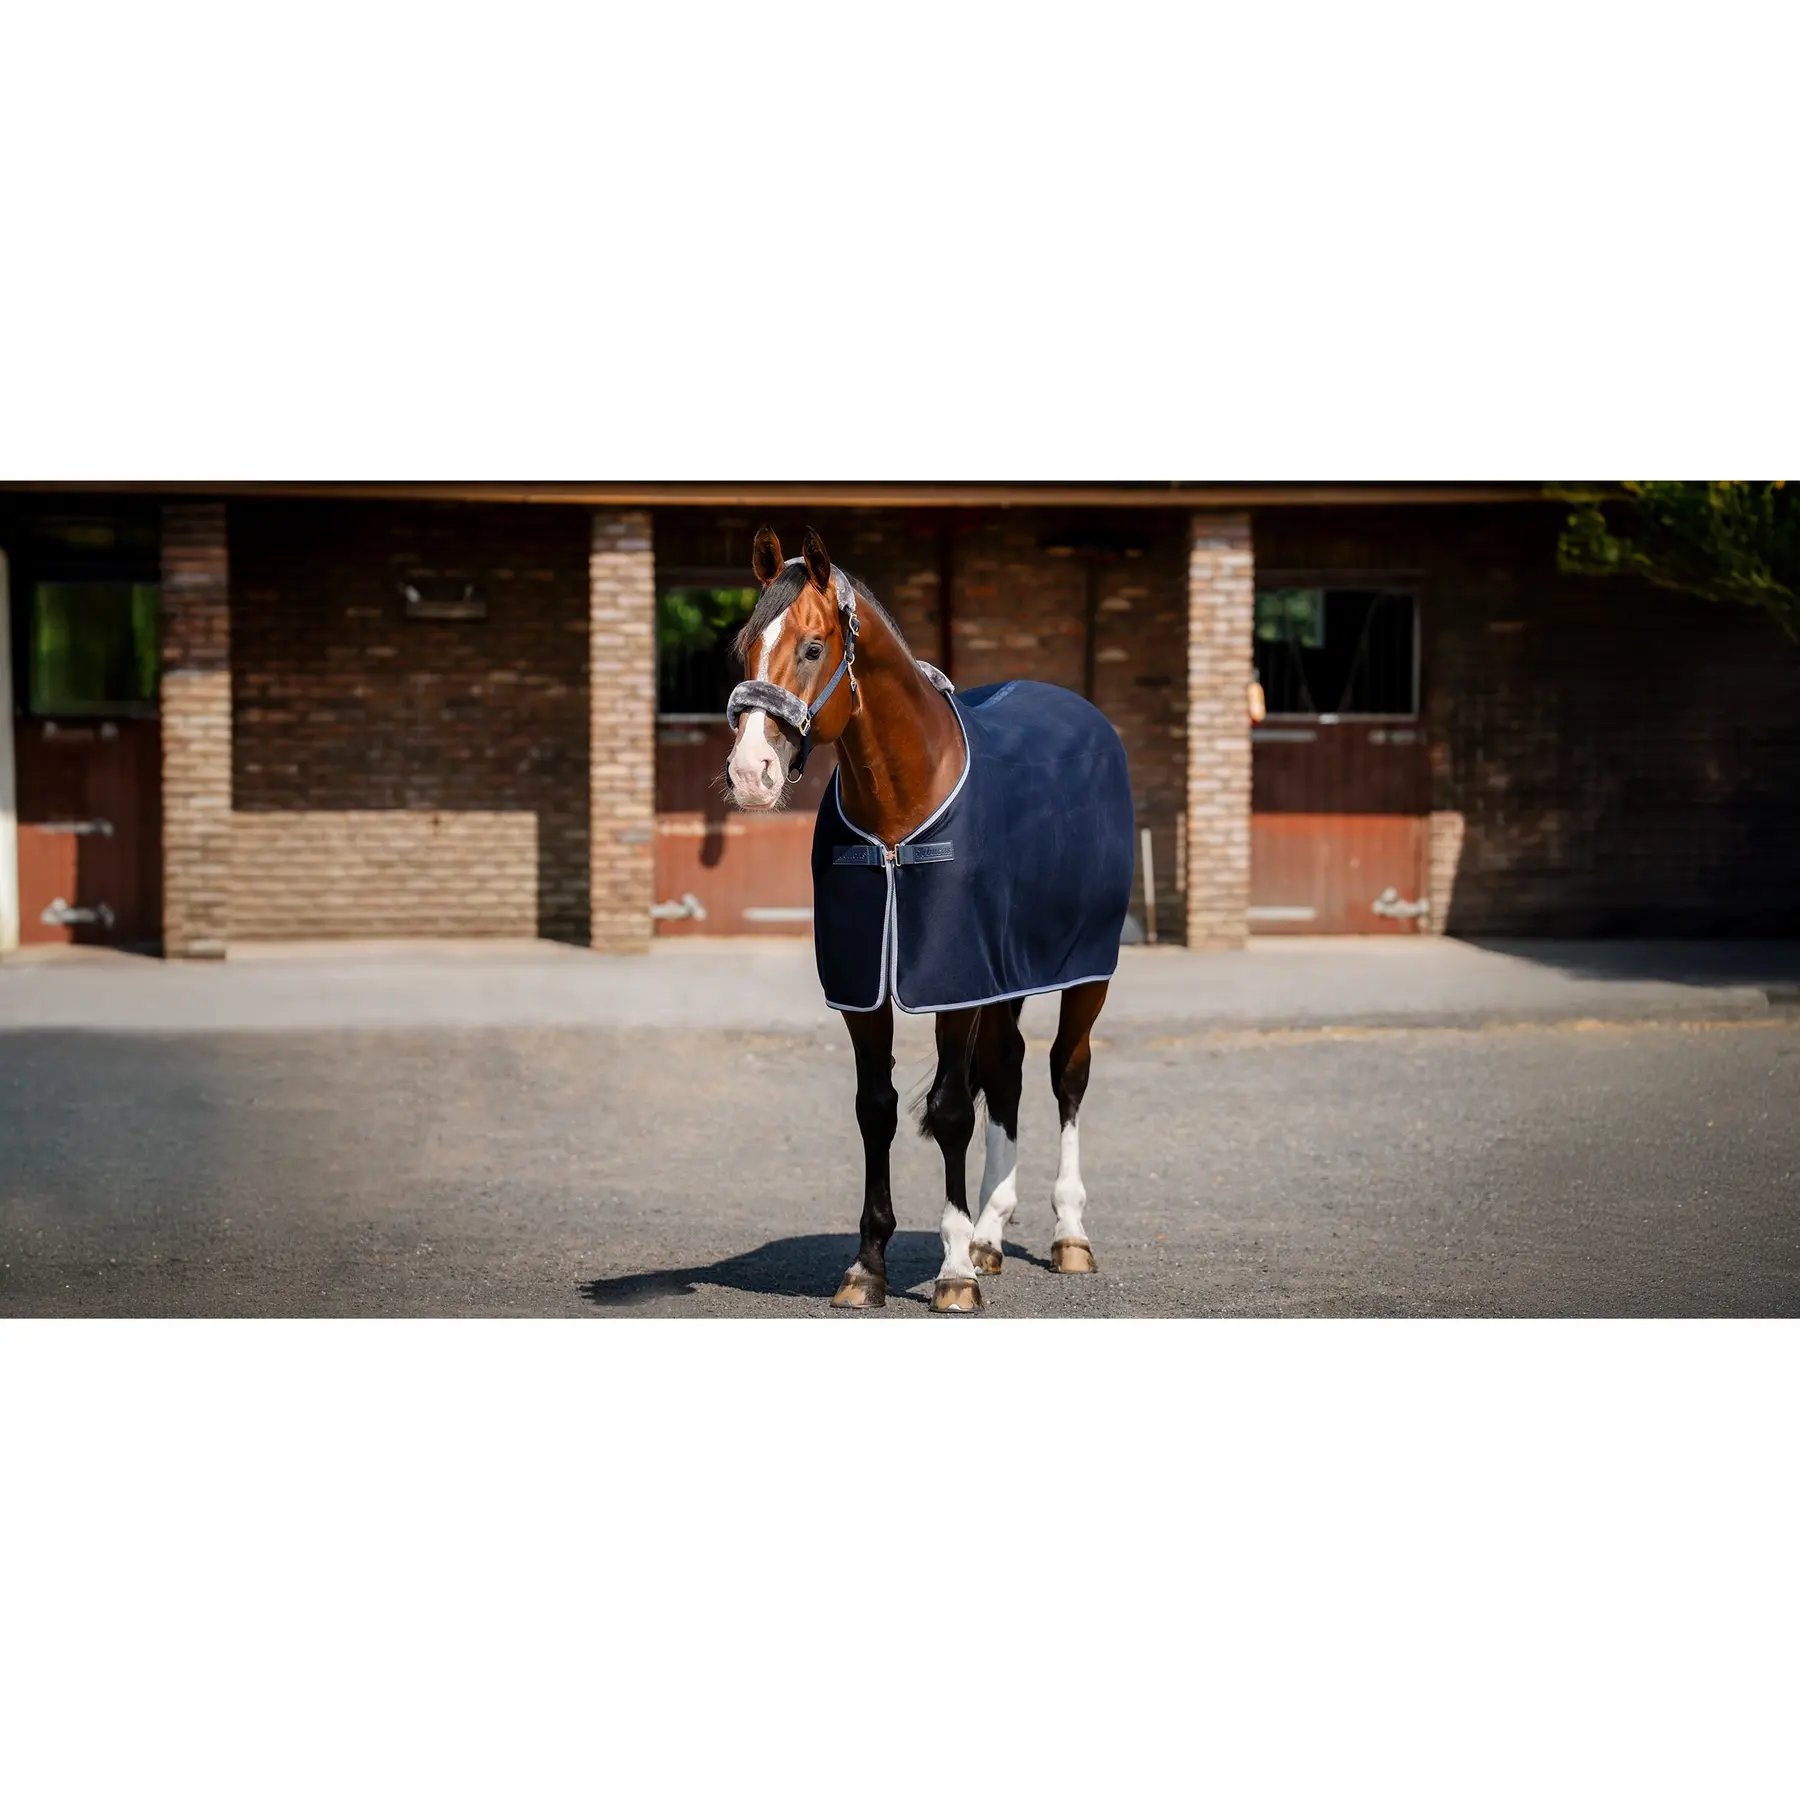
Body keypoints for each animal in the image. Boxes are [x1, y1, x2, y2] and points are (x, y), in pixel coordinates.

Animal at [724, 526, 1136, 1313]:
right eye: (743, 646)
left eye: (814, 647)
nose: (750, 773)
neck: (900, 812)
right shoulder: (870, 992)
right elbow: (875, 1108)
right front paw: (869, 1267)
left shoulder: (952, 985)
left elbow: (949, 1110)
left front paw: (952, 1272)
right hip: (1003, 975)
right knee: (1006, 1072)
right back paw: (991, 1232)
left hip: (1085, 973)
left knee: (1066, 1074)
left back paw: (1068, 1234)